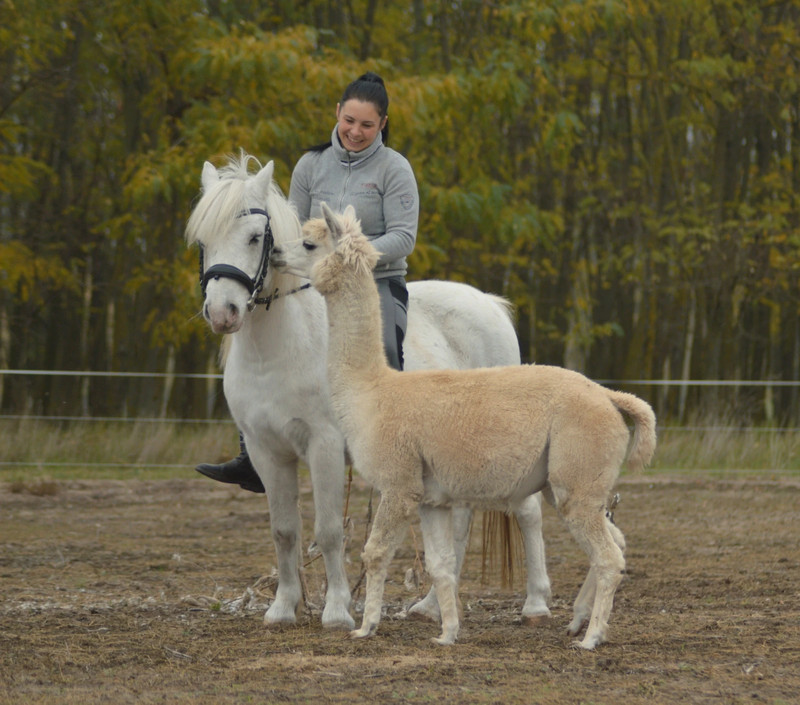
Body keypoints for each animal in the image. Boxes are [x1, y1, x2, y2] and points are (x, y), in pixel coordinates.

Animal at [185, 151, 552, 628]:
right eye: (202, 242)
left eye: (254, 237)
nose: (222, 313)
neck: (279, 348)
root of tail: (489, 303)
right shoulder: (268, 450)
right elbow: (284, 530)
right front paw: (283, 608)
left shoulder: (323, 445)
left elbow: (327, 531)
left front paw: (338, 611)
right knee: (460, 518)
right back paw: (433, 605)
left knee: (526, 510)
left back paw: (536, 602)